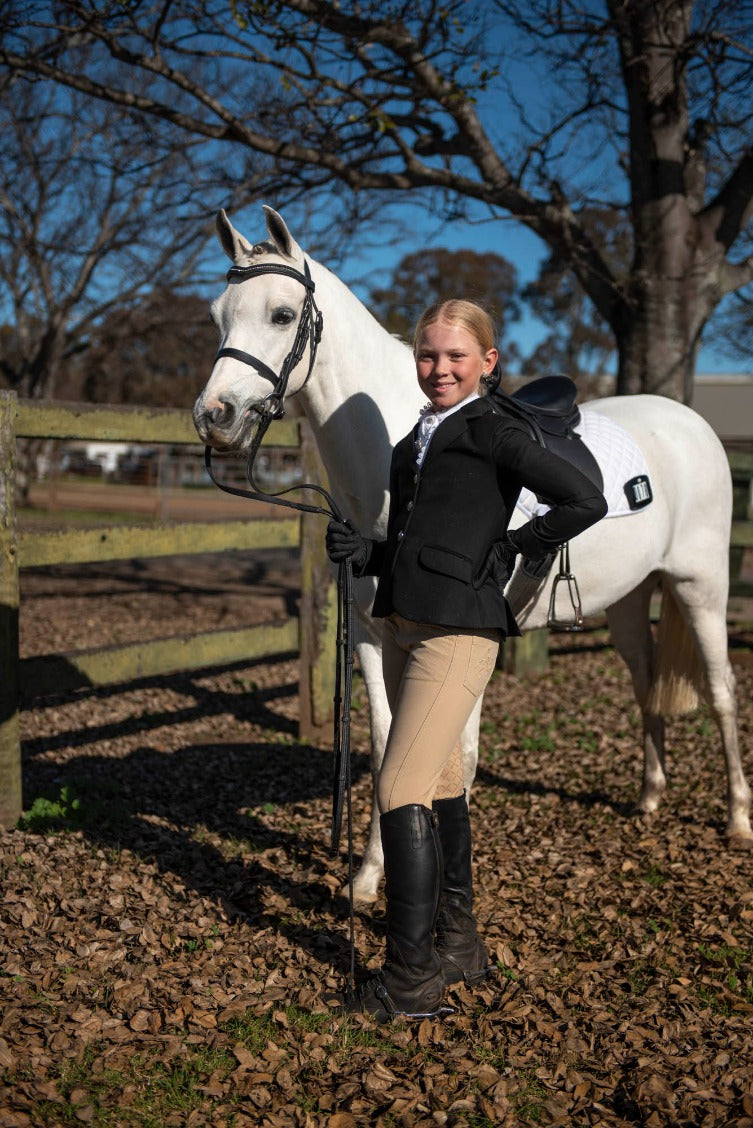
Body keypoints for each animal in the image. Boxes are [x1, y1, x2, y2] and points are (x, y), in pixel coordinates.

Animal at [193, 203, 753, 897]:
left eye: (281, 313)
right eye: (218, 314)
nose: (214, 415)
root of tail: (692, 424)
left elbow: (454, 756)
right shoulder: (374, 638)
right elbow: (388, 746)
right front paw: (369, 878)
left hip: (701, 588)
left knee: (722, 688)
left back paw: (737, 819)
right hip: (630, 599)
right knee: (647, 683)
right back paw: (649, 796)